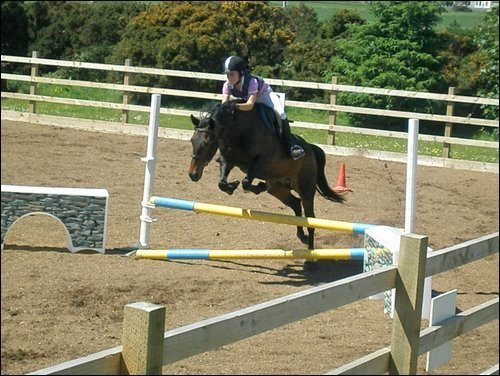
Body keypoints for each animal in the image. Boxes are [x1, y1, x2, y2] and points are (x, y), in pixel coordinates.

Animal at [188, 101, 344, 251]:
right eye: (192, 140)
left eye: (207, 142)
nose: (193, 174)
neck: (238, 130)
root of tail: (310, 149)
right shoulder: (228, 160)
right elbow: (222, 183)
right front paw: (232, 187)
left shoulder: (261, 162)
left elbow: (246, 182)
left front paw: (257, 187)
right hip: (278, 189)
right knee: (295, 204)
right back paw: (301, 236)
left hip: (305, 189)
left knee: (311, 219)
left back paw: (311, 252)